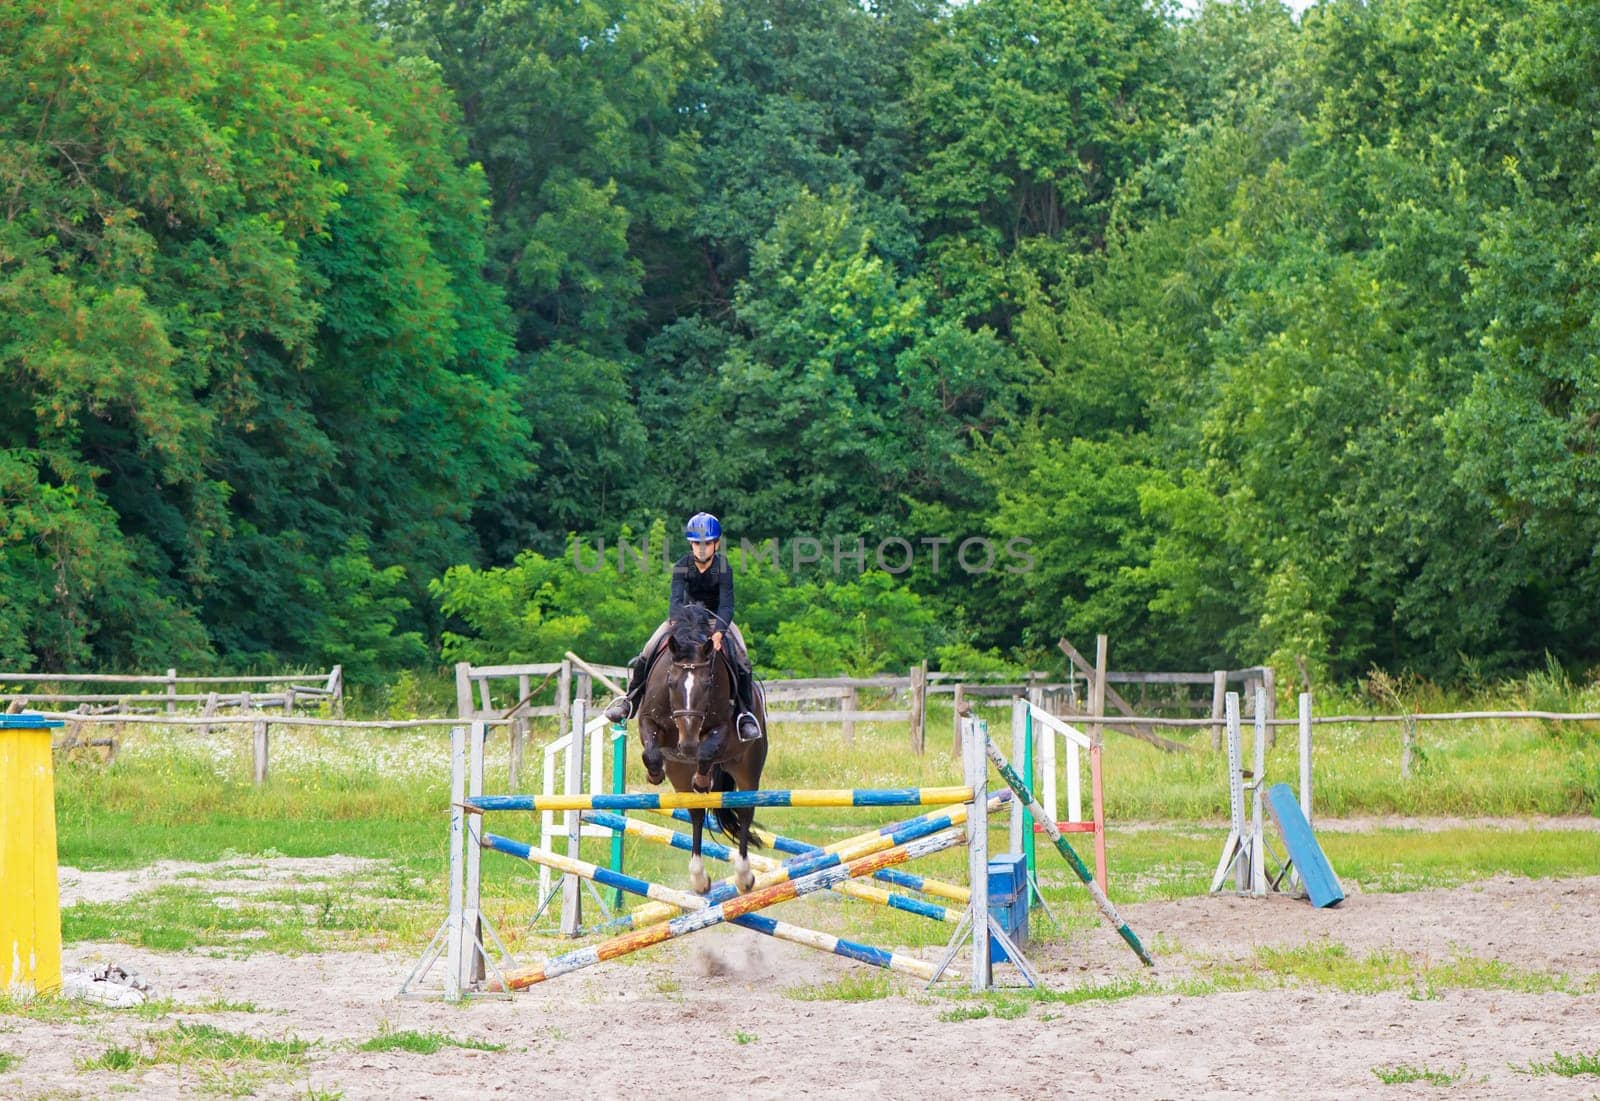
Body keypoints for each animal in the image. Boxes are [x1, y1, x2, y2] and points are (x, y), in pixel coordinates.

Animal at [633, 601, 764, 896]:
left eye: (708, 683)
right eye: (671, 682)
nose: (688, 745)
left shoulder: (723, 727)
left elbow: (707, 752)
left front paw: (703, 779)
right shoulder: (648, 719)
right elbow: (651, 751)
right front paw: (654, 774)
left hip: (747, 766)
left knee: (745, 810)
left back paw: (744, 876)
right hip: (680, 772)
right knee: (695, 813)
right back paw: (699, 878)